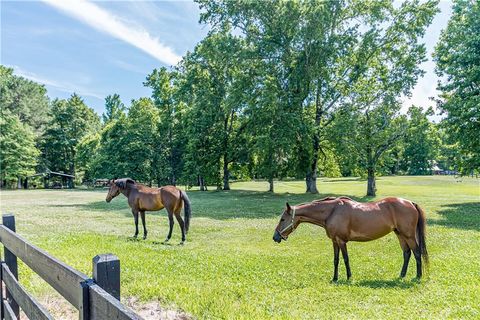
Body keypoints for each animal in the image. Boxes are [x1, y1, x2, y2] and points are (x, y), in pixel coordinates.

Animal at [274, 196, 428, 282]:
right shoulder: (334, 241)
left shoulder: (341, 241)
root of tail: (410, 202)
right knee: (407, 253)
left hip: (408, 236)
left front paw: (348, 277)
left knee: (417, 253)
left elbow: (346, 259)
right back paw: (401, 276)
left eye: (282, 219)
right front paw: (335, 278)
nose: (275, 237)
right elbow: (336, 260)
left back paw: (418, 276)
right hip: (400, 234)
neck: (332, 211)